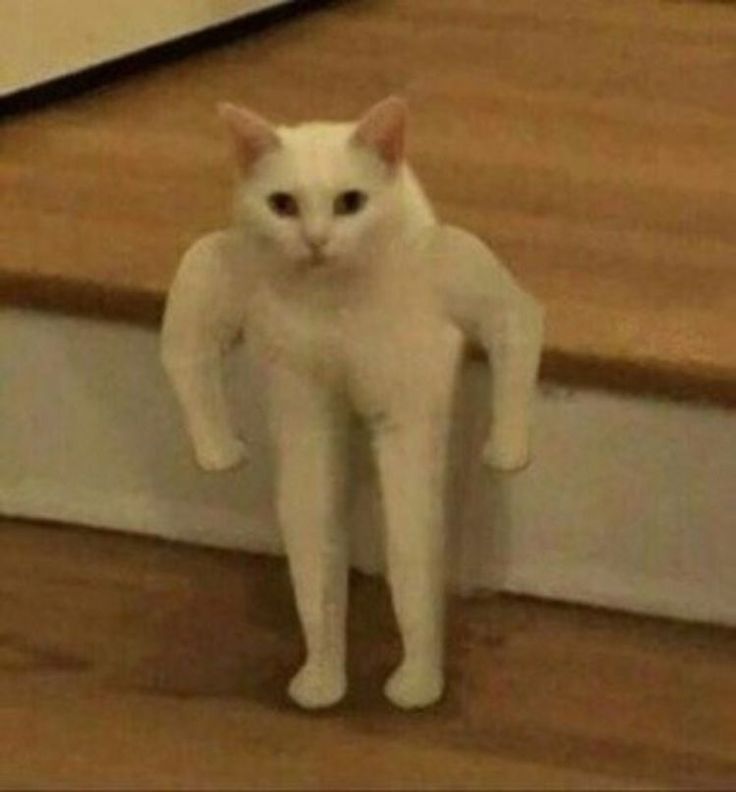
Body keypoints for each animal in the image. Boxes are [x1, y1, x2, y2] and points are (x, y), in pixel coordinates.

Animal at [160, 96, 540, 708]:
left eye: (350, 202)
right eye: (283, 204)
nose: (316, 240)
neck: (333, 304)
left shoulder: (455, 317)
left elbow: (519, 325)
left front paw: (505, 454)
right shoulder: (224, 285)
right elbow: (184, 348)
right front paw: (220, 454)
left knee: (411, 544)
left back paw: (417, 683)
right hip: (306, 428)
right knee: (313, 537)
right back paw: (322, 681)